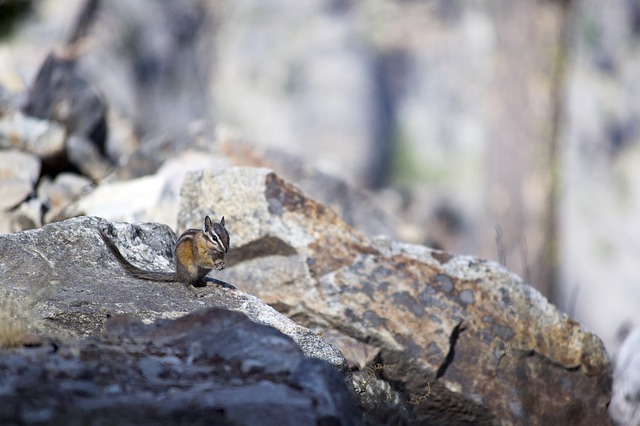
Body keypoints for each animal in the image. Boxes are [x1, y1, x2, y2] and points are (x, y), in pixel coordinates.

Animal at [99, 216, 230, 288]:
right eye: (214, 238)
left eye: (228, 236)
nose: (226, 250)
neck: (212, 250)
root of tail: (178, 273)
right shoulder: (198, 252)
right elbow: (203, 261)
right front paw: (215, 265)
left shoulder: (218, 255)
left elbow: (219, 259)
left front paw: (223, 264)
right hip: (190, 269)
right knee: (186, 283)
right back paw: (193, 289)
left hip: (202, 272)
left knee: (198, 281)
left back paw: (210, 283)